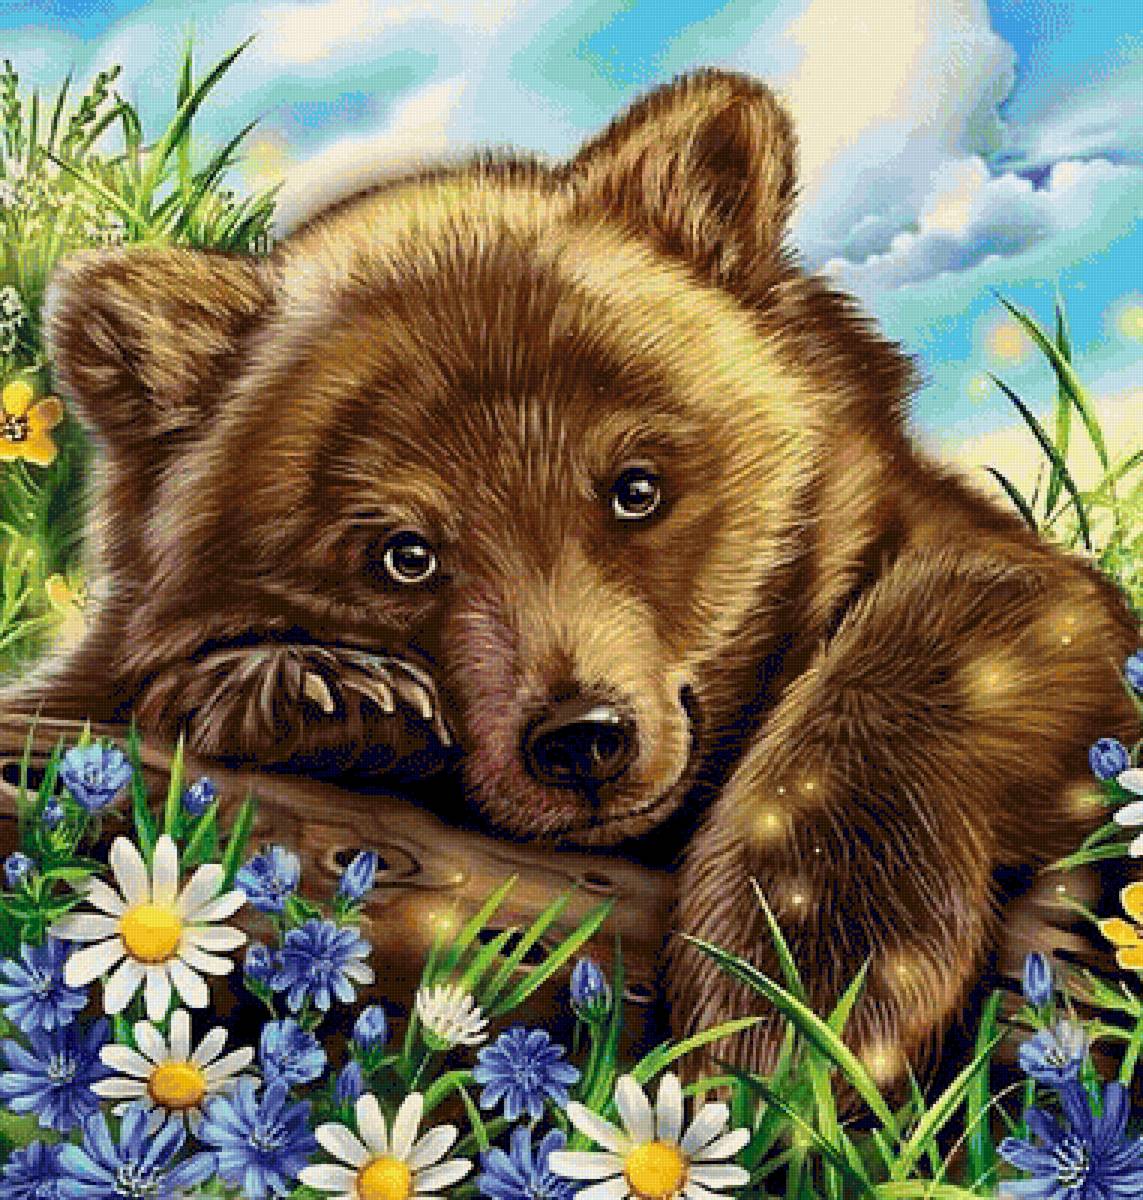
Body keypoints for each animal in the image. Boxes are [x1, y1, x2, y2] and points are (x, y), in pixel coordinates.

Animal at [3, 69, 1139, 1093]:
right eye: (402, 551)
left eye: (635, 488)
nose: (581, 738)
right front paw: (320, 689)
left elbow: (975, 623)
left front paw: (804, 979)